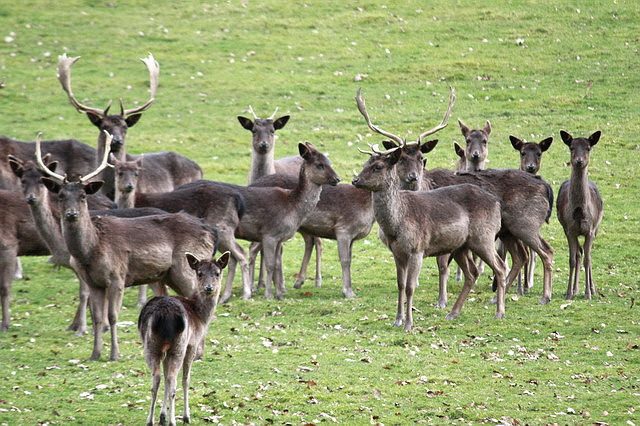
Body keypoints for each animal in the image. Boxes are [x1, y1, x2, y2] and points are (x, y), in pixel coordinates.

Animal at [38, 132, 218, 361]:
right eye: (61, 196)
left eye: (83, 196)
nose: (71, 214)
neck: (90, 251)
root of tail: (210, 231)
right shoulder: (93, 282)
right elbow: (98, 317)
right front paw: (95, 354)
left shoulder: (117, 276)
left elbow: (113, 316)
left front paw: (115, 354)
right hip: (166, 275)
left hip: (186, 269)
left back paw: (197, 353)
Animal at [139, 251, 229, 426]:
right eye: (199, 273)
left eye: (217, 273)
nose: (209, 288)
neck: (200, 317)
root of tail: (164, 316)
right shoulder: (192, 343)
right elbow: (186, 379)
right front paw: (186, 416)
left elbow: (165, 378)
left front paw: (162, 416)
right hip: (179, 345)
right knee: (173, 380)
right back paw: (174, 420)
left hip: (151, 345)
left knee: (158, 379)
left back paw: (150, 420)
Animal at [238, 107, 323, 289]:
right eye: (253, 130)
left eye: (272, 130)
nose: (264, 145)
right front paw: (260, 283)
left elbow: (277, 250)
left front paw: (269, 282)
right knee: (309, 240)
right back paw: (299, 280)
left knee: (318, 241)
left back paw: (317, 280)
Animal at [557, 130, 603, 300]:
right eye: (571, 147)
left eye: (588, 148)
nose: (579, 161)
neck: (579, 212)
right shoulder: (570, 230)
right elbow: (572, 259)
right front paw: (569, 293)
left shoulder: (590, 230)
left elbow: (588, 260)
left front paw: (588, 293)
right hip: (566, 229)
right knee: (579, 254)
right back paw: (575, 289)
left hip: (597, 227)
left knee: (586, 255)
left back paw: (593, 289)